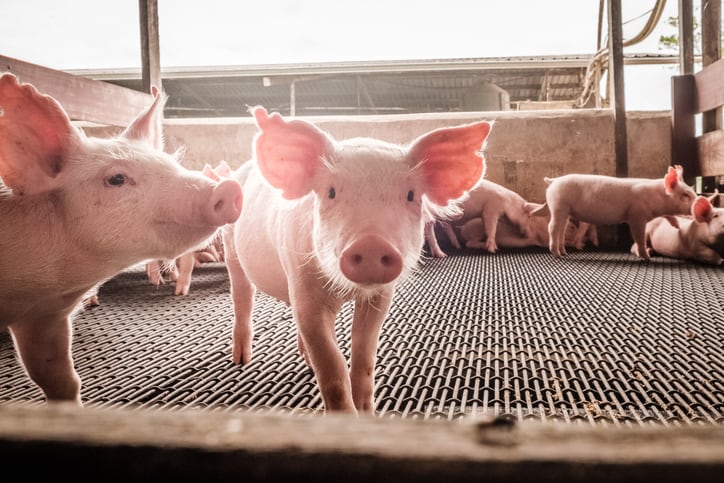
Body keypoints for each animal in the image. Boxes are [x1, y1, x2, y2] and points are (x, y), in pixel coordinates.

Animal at [222, 107, 491, 413]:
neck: (346, 292)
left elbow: (364, 355)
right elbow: (332, 366)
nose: (371, 243)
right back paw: (241, 359)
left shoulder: (380, 296)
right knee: (242, 296)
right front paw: (346, 416)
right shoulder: (304, 287)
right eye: (330, 191)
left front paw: (366, 411)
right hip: (231, 246)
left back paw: (304, 361)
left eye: (411, 195)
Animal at [544, 165, 696, 259]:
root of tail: (554, 180)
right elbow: (639, 236)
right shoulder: (636, 215)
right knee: (552, 227)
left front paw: (677, 226)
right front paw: (647, 258)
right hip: (558, 206)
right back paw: (557, 254)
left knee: (562, 229)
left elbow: (669, 216)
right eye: (686, 195)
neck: (656, 197)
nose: (700, 202)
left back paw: (564, 253)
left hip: (565, 211)